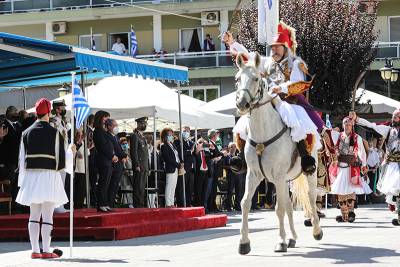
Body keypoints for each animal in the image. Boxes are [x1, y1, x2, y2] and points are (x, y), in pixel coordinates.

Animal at [236, 52, 324, 255]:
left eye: (256, 78)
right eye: (237, 79)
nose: (242, 104)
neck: (262, 132)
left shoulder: (278, 175)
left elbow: (279, 209)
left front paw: (281, 241)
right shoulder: (254, 174)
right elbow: (245, 203)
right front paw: (244, 243)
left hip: (308, 172)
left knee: (311, 196)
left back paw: (316, 231)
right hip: (284, 180)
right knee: (290, 205)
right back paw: (292, 237)